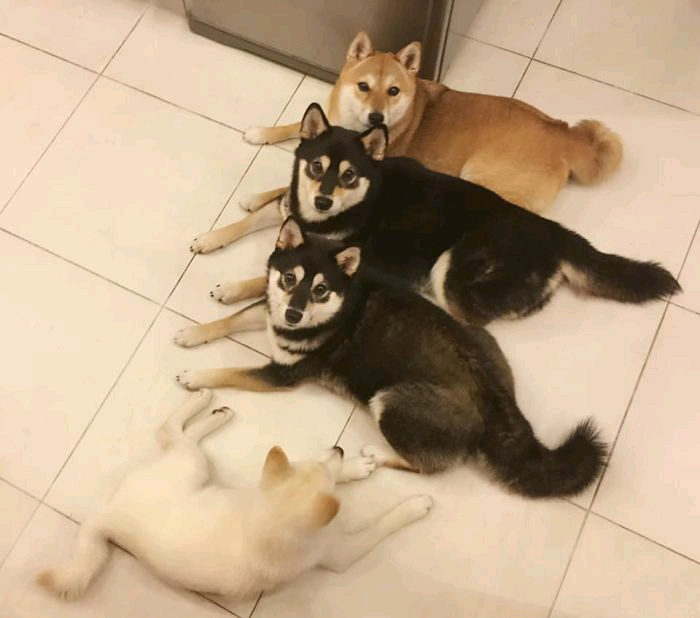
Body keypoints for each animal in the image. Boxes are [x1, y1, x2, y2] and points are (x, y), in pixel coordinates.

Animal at [37, 389, 433, 602]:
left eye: (305, 460)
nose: (338, 448)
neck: (270, 519)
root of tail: (107, 513)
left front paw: (353, 466)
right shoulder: (340, 553)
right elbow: (382, 524)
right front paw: (416, 505)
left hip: (193, 470)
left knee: (178, 435)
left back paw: (213, 408)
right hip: (191, 465)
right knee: (170, 431)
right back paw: (205, 402)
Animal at [173, 103, 679, 350]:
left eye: (349, 176)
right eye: (317, 167)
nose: (322, 199)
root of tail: (553, 231)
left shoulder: (338, 260)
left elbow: (266, 275)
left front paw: (232, 287)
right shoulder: (295, 211)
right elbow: (257, 217)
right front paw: (214, 237)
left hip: (452, 268)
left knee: (474, 317)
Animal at [176, 220, 608, 499]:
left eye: (321, 290)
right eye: (289, 278)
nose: (294, 315)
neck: (339, 308)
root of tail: (498, 403)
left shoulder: (282, 374)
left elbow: (231, 372)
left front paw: (196, 376)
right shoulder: (271, 312)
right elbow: (233, 319)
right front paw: (193, 333)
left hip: (391, 401)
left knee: (425, 466)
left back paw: (378, 455)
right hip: (480, 340)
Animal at [189, 31, 623, 255]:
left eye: (394, 91)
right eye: (364, 87)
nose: (377, 117)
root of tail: (566, 134)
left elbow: (284, 186)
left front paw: (256, 196)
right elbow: (294, 126)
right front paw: (262, 132)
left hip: (483, 178)